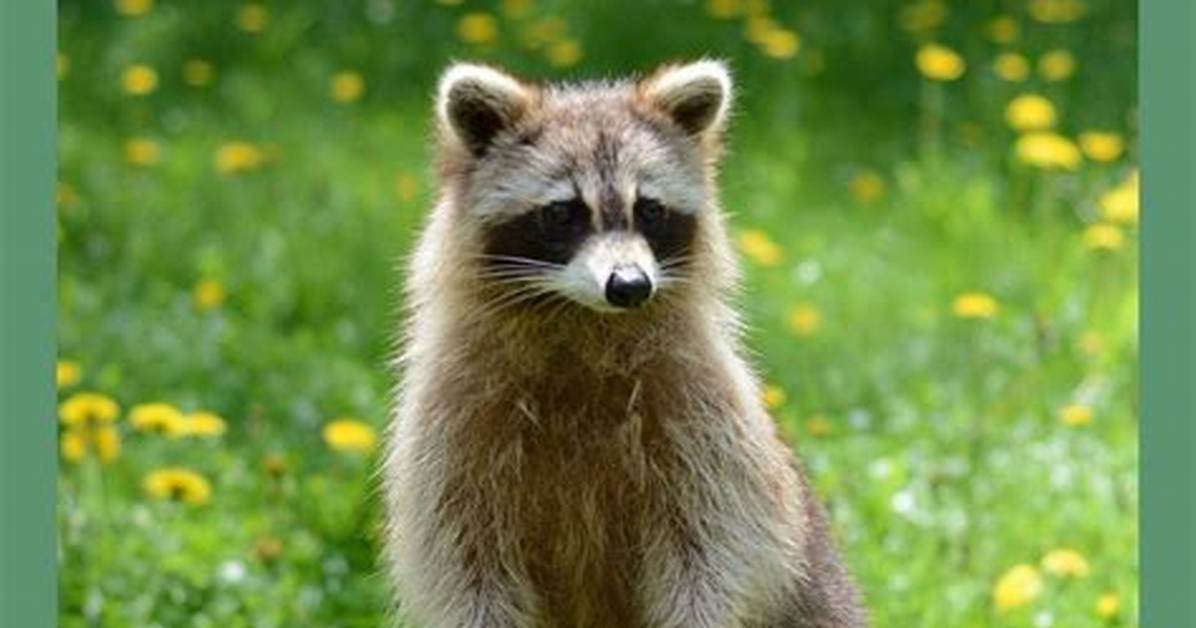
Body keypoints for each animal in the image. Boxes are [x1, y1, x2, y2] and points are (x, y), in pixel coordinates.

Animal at [384, 60, 865, 628]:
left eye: (650, 210)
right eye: (562, 213)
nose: (631, 285)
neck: (583, 319)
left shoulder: (705, 421)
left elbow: (712, 552)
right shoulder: (454, 429)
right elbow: (465, 566)